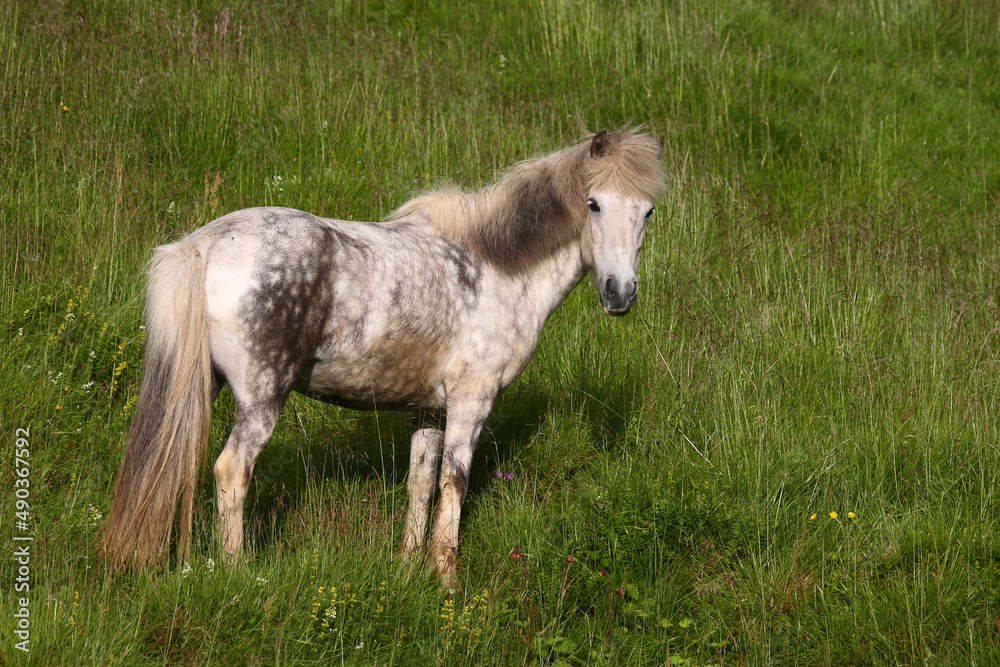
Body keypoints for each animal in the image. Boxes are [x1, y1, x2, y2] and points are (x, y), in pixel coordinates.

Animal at [102, 128, 666, 589]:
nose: (620, 294)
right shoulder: (471, 404)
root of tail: (204, 244)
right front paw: (446, 582)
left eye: (647, 211)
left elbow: (420, 483)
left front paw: (406, 568)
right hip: (260, 401)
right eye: (593, 204)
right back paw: (239, 573)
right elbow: (453, 483)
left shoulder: (430, 410)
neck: (498, 266)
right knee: (231, 471)